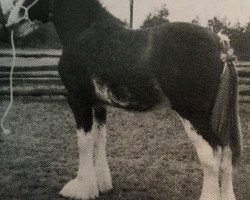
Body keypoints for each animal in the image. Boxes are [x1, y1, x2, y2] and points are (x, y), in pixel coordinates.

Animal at [0, 0, 242, 199]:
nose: (9, 24)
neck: (85, 32)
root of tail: (220, 46)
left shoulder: (78, 99)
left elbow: (84, 141)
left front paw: (80, 188)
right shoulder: (98, 104)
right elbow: (99, 139)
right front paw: (100, 185)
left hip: (194, 115)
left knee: (211, 158)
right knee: (227, 156)